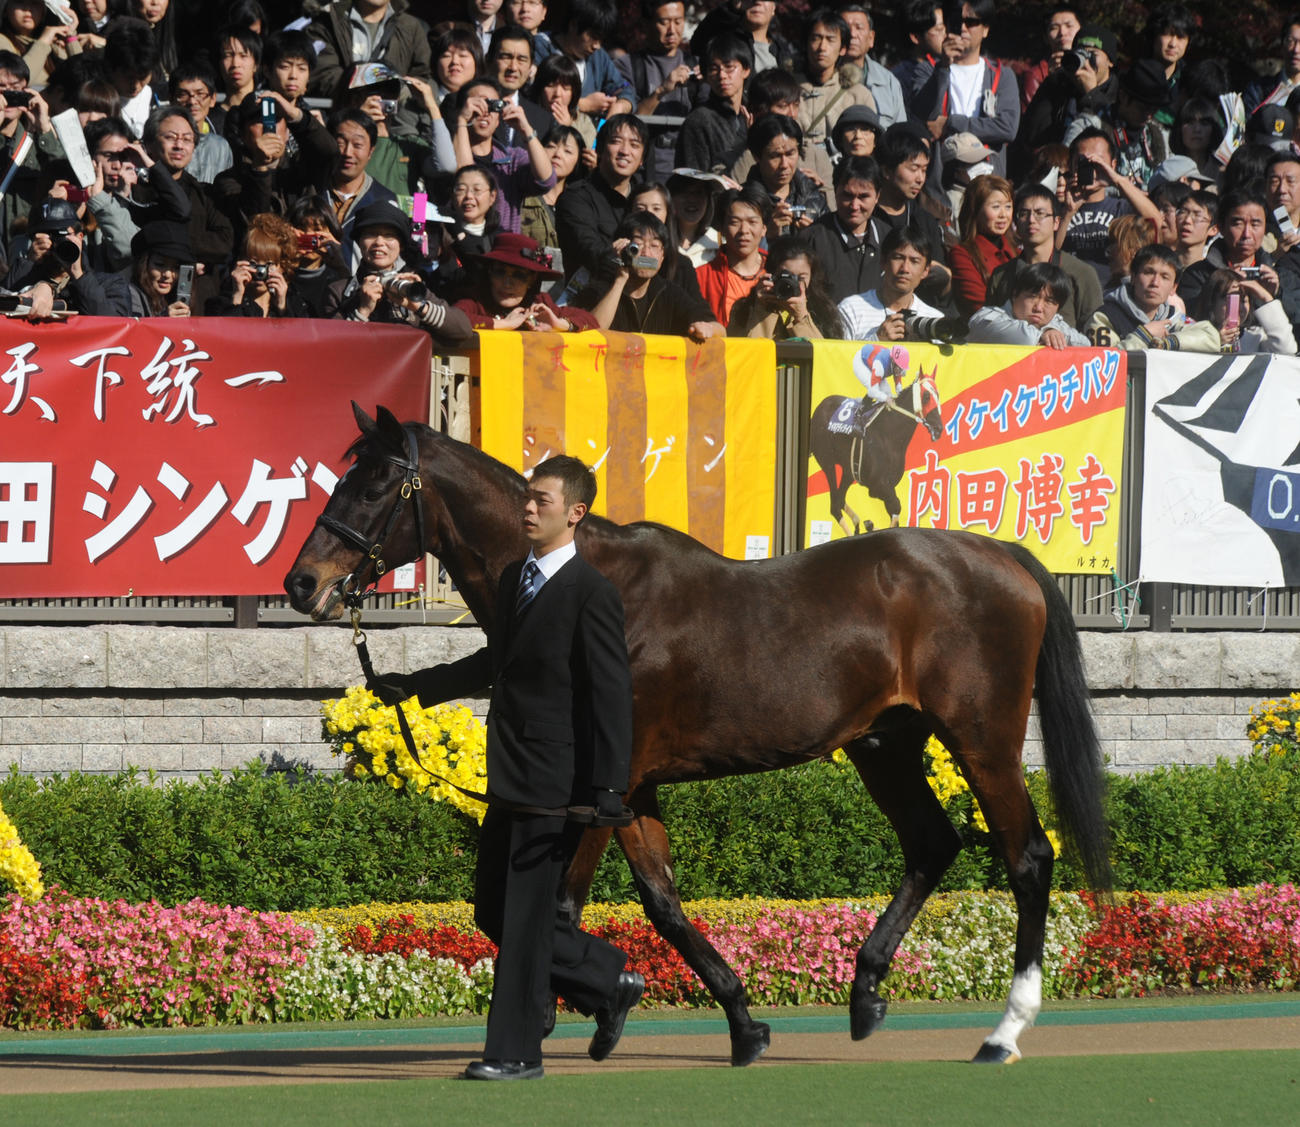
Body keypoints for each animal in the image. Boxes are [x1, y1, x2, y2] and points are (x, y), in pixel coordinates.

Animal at [285, 403, 1110, 1067]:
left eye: (374, 484)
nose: (301, 582)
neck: (599, 584)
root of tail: (1005, 556)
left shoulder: (602, 783)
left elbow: (562, 906)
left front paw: (573, 1008)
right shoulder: (633, 787)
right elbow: (663, 902)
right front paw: (738, 1022)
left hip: (981, 739)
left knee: (1028, 857)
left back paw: (1003, 1030)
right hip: (885, 742)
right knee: (932, 843)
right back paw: (867, 991)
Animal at [810, 369, 942, 537]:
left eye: (937, 395)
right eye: (926, 396)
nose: (938, 428)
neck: (888, 435)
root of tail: (820, 406)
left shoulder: (888, 485)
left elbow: (894, 512)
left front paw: (871, 526)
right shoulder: (877, 485)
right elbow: (896, 506)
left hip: (849, 469)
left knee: (839, 499)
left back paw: (859, 524)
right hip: (827, 462)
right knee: (834, 505)